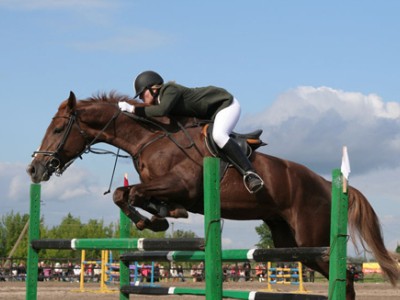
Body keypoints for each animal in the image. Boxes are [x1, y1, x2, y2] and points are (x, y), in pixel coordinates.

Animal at [28, 91, 400, 298]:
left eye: (58, 129)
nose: (34, 170)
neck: (150, 138)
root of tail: (331, 184)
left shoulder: (183, 185)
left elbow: (127, 194)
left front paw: (157, 222)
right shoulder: (162, 188)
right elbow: (126, 194)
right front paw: (159, 218)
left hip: (313, 238)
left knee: (346, 277)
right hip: (290, 241)